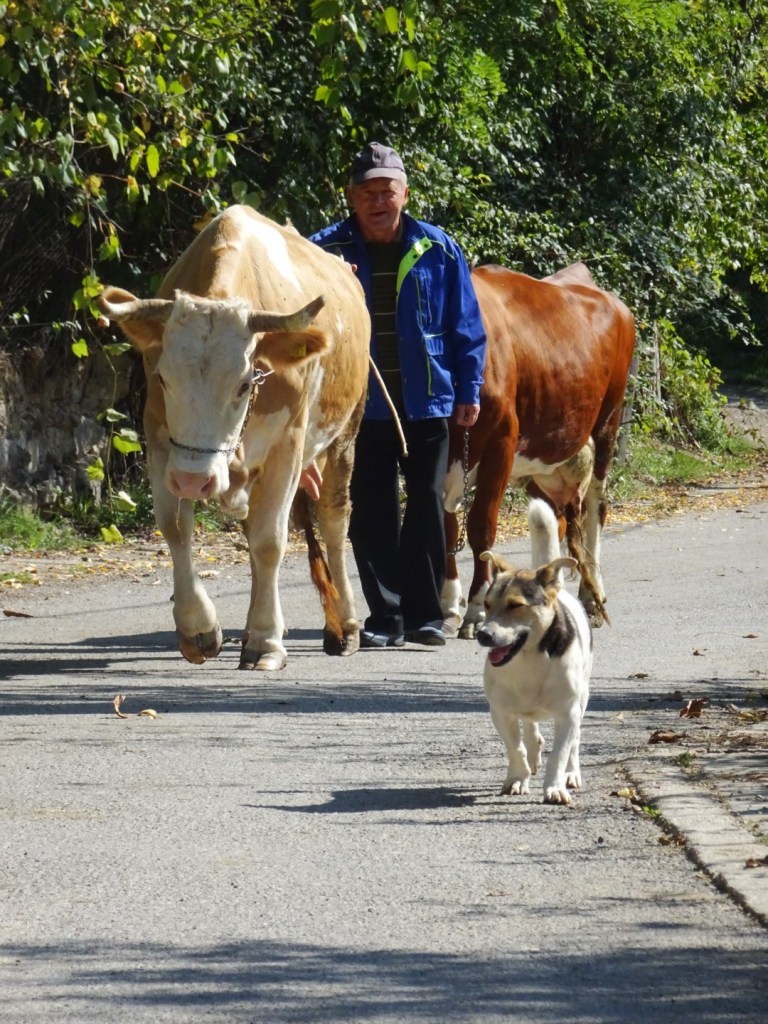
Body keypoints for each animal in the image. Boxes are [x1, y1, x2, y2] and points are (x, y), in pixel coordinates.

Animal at [98, 205, 370, 671]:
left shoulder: (288, 445)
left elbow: (270, 541)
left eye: (245, 384)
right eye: (164, 379)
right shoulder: (160, 439)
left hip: (344, 436)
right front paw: (199, 628)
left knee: (334, 522)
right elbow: (176, 528)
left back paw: (346, 626)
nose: (194, 481)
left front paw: (266, 641)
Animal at [442, 262, 636, 638]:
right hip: (544, 463)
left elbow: (480, 526)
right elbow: (446, 527)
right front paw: (447, 604)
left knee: (595, 507)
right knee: (556, 519)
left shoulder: (502, 441)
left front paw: (475, 609)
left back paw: (591, 598)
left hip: (608, 421)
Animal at [476, 498, 592, 804]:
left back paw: (571, 774)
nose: (482, 634)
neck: (528, 659)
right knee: (530, 729)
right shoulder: (500, 711)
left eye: (516, 605)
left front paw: (555, 787)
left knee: (575, 743)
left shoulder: (568, 713)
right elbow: (515, 748)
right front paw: (518, 778)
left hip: (583, 698)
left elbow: (560, 753)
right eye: (487, 604)